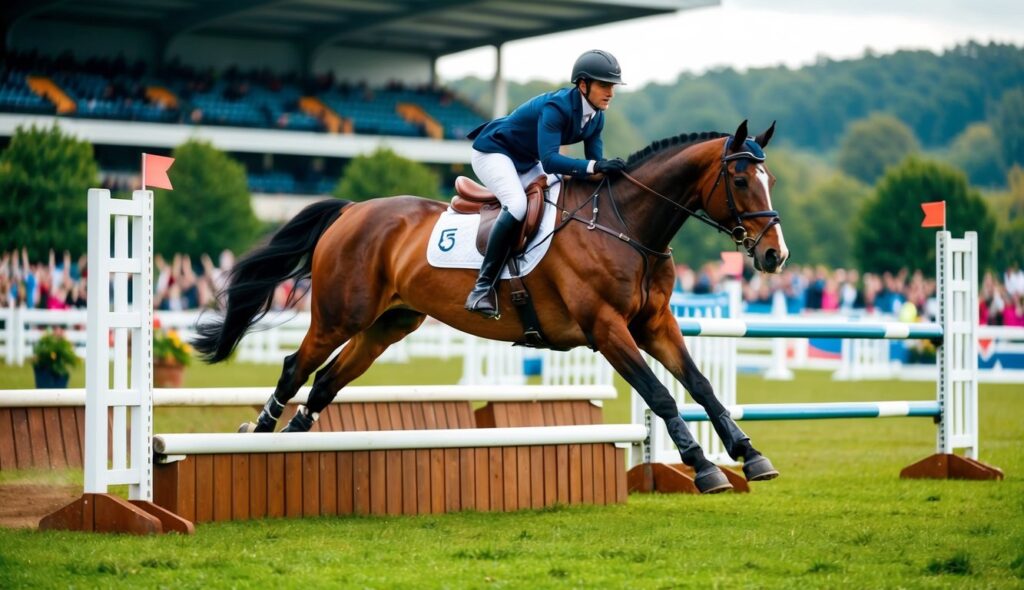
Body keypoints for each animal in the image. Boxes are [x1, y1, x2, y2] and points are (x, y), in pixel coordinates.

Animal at [193, 119, 790, 493]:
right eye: (741, 178)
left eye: (771, 179)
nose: (774, 255)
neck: (627, 226)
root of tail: (352, 210)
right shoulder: (607, 330)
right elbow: (661, 395)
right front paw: (703, 467)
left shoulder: (656, 324)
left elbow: (700, 384)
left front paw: (749, 454)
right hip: (341, 315)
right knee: (296, 367)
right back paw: (258, 437)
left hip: (388, 325)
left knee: (325, 382)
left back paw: (291, 446)